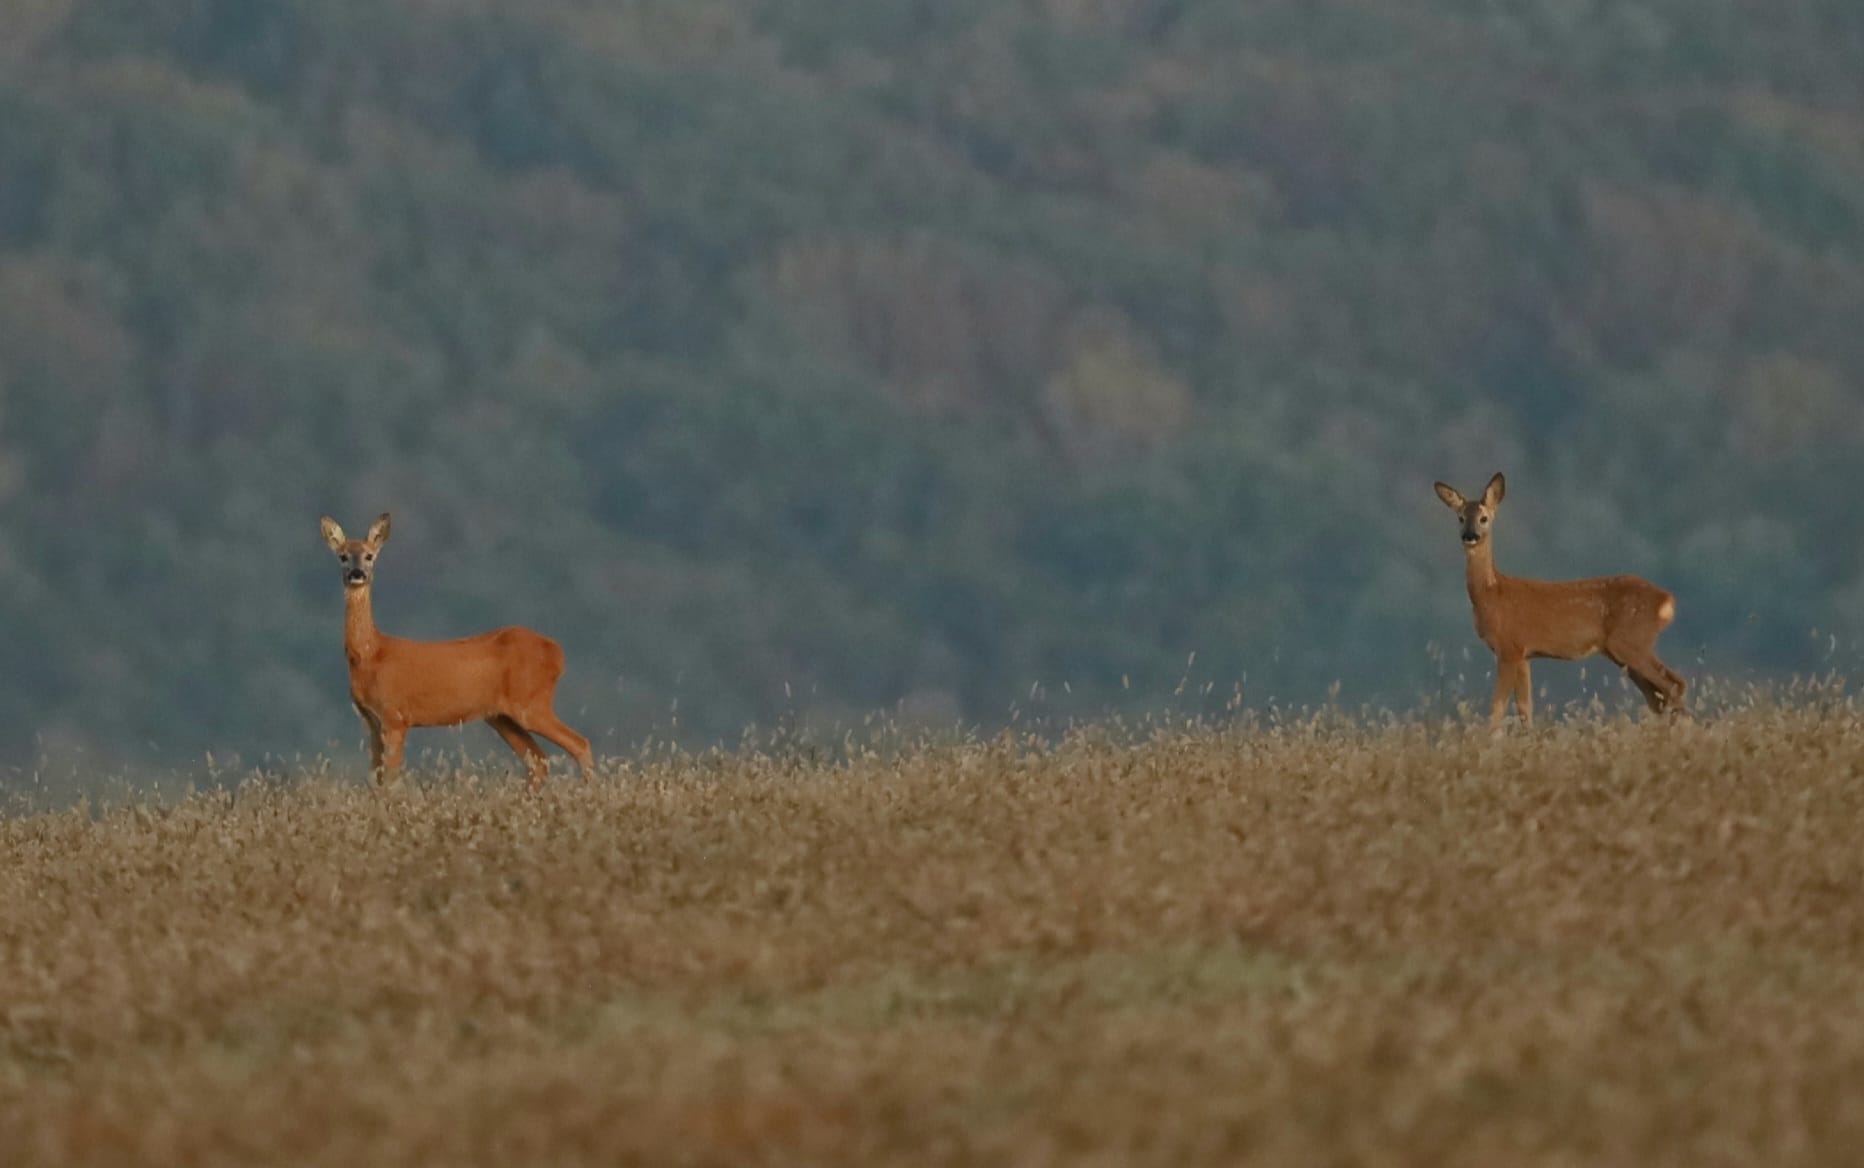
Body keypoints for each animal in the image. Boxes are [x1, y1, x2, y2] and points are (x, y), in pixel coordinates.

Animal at [313, 517, 589, 789]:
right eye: (343, 556)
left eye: (369, 555)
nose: (357, 574)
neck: (370, 654)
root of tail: (557, 653)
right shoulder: (371, 720)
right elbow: (376, 778)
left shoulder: (396, 716)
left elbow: (391, 779)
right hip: (502, 716)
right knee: (539, 761)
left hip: (531, 703)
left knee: (579, 744)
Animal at [1431, 475, 1685, 730]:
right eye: (1461, 518)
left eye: (1484, 518)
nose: (1469, 536)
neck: (1492, 595)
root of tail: (1666, 599)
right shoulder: (1524, 654)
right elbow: (1525, 709)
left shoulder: (1509, 648)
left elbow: (1497, 710)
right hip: (1623, 651)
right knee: (1658, 695)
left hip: (1631, 641)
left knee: (1674, 685)